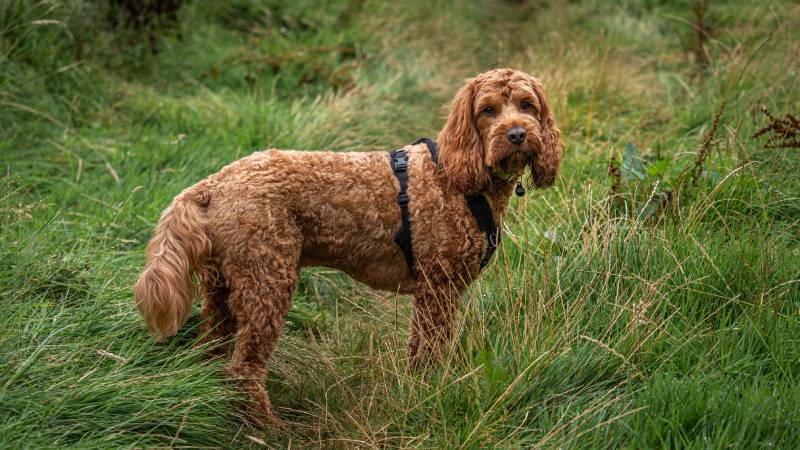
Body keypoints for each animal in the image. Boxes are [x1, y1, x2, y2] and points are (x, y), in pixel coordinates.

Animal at [134, 67, 564, 422]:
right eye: (487, 110)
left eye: (527, 105)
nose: (517, 135)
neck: (458, 179)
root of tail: (213, 183)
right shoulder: (438, 288)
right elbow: (429, 351)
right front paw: (431, 391)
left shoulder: (436, 291)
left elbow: (420, 350)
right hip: (266, 280)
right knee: (244, 367)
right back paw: (266, 427)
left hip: (222, 287)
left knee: (213, 351)